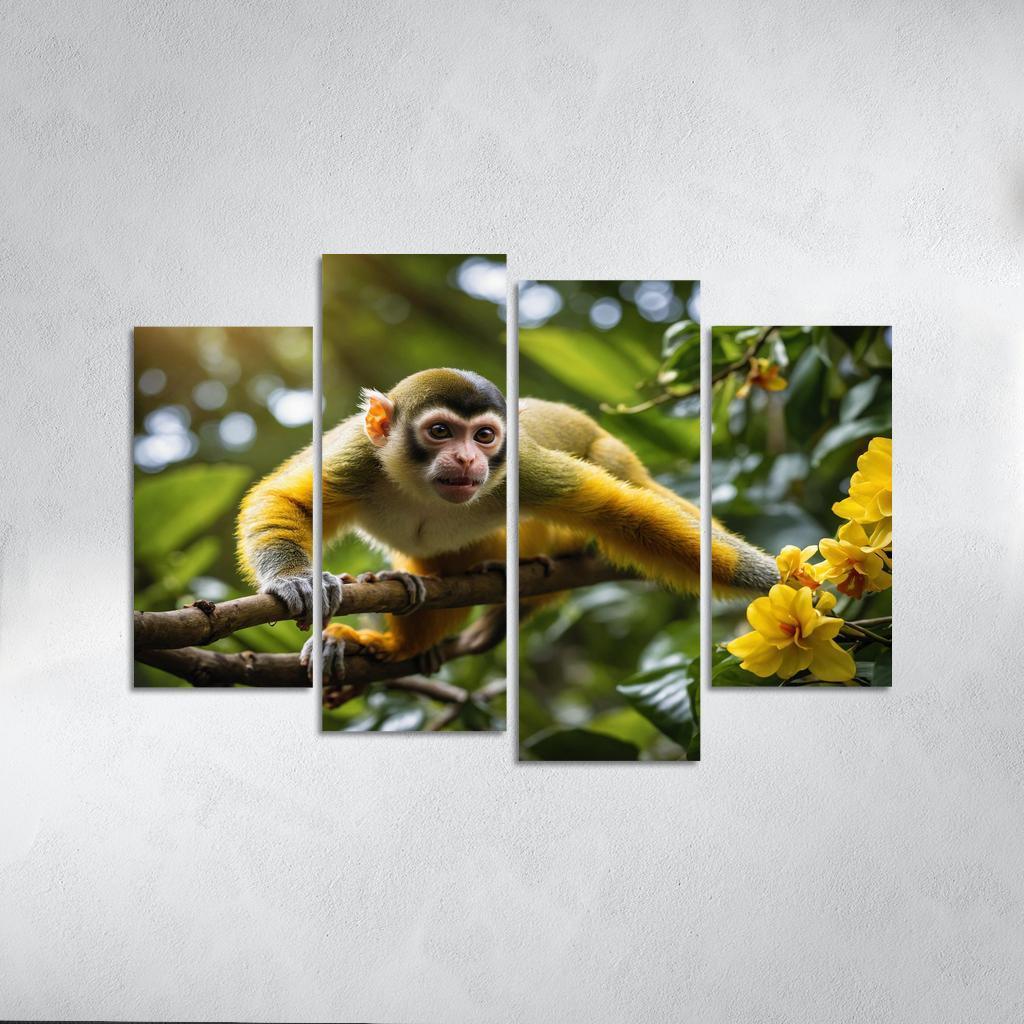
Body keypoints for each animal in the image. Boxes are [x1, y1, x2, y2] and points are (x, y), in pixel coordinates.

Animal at [236, 368, 778, 681]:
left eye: (484, 436)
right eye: (440, 431)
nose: (466, 459)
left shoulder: (518, 467)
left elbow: (619, 513)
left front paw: (776, 581)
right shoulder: (360, 452)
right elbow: (287, 500)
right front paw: (298, 580)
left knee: (615, 476)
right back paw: (394, 630)